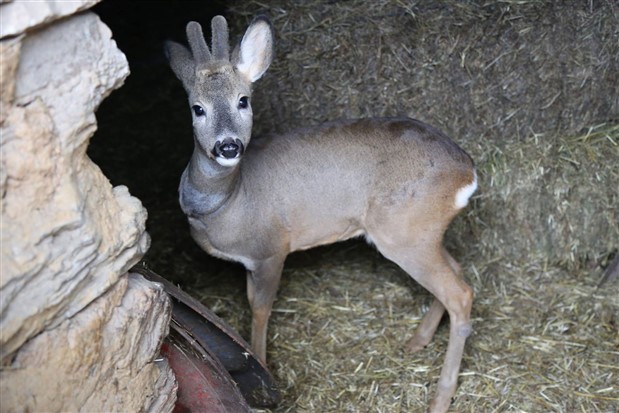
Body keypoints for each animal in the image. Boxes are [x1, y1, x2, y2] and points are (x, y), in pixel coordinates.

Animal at [166, 14, 480, 410]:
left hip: (403, 231)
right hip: (425, 232)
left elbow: (259, 307)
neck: (231, 200)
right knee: (457, 271)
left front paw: (262, 368)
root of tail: (466, 173)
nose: (228, 146)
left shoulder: (271, 249)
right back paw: (416, 341)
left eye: (243, 100)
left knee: (460, 293)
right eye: (197, 107)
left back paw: (440, 398)